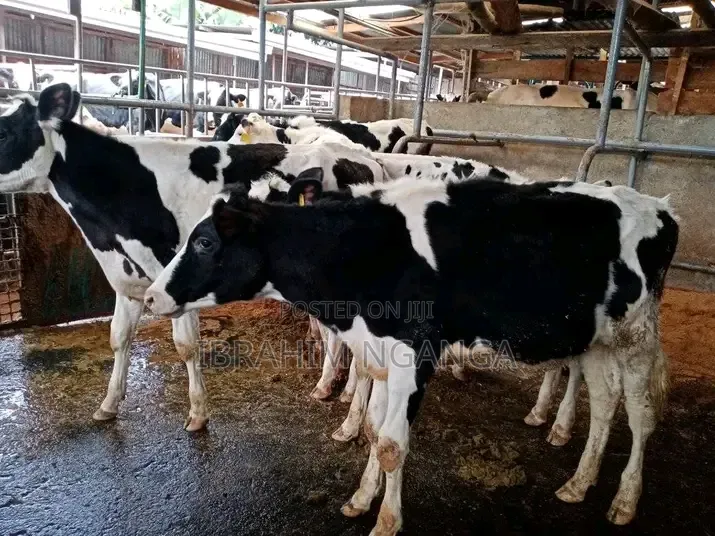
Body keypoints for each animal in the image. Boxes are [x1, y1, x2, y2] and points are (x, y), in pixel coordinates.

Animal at [0, 83, 386, 432]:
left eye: (6, 130)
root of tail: (369, 161)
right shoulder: (128, 282)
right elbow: (119, 338)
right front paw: (109, 404)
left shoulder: (175, 284)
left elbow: (185, 346)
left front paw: (198, 414)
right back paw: (336, 389)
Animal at [144, 171, 677, 531]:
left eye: (205, 242)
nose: (150, 296)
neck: (366, 256)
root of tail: (657, 205)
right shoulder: (378, 351)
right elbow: (375, 431)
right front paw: (362, 498)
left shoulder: (411, 353)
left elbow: (392, 445)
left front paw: (386, 521)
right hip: (596, 338)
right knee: (605, 404)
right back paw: (578, 482)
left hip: (635, 335)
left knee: (640, 414)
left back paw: (625, 500)